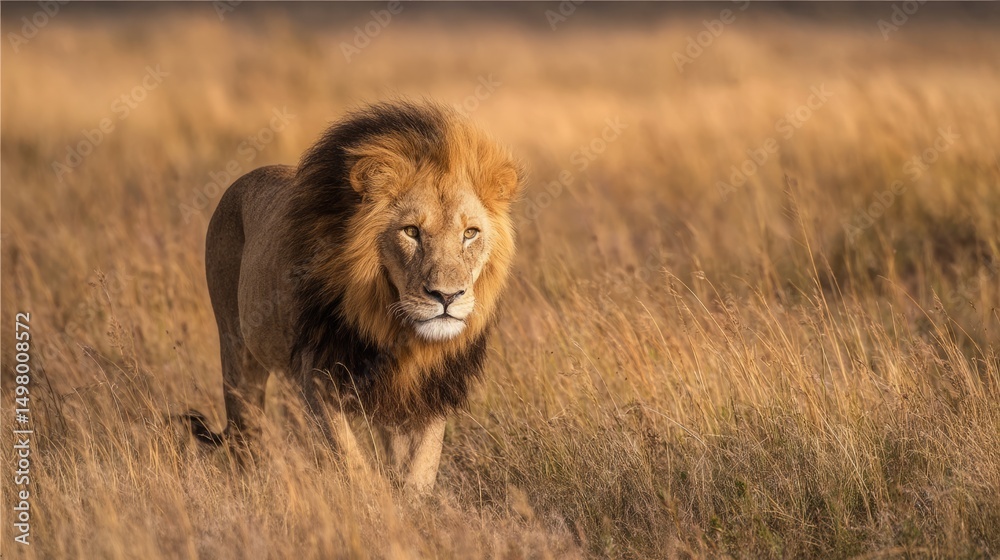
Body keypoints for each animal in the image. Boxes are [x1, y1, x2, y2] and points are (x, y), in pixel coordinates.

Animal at [185, 100, 523, 494]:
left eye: (470, 233)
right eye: (411, 231)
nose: (447, 295)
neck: (398, 331)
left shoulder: (426, 392)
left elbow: (420, 469)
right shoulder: (318, 377)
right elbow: (353, 464)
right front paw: (374, 502)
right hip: (237, 349)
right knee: (245, 431)